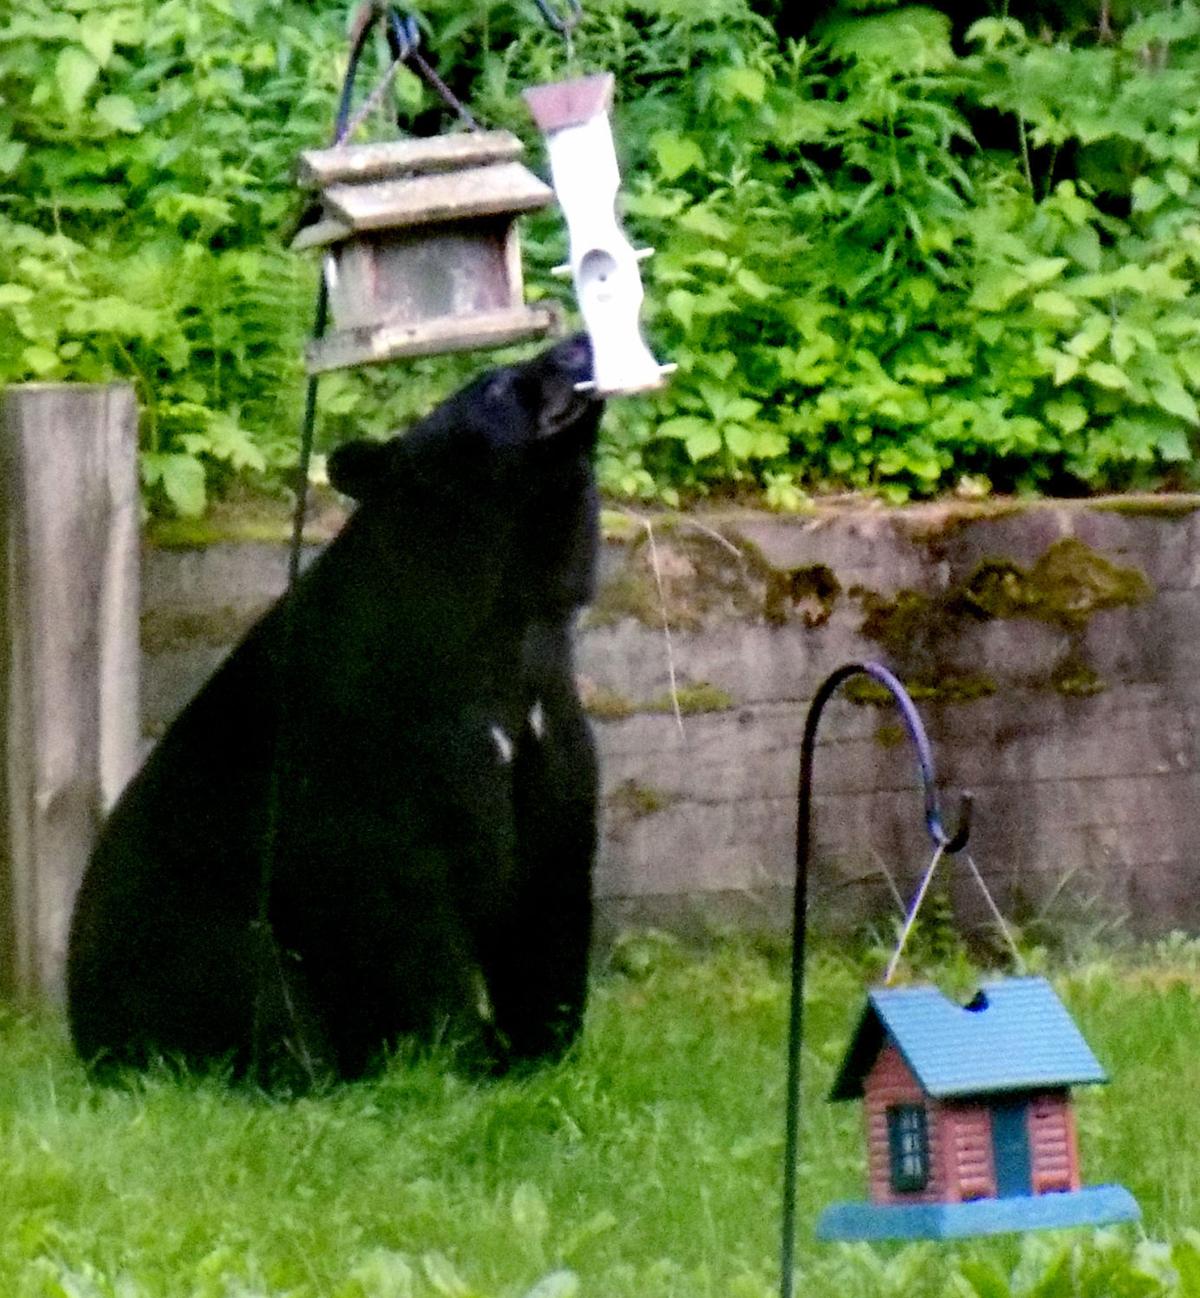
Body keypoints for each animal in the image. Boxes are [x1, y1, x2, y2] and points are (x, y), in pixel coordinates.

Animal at [67, 334, 603, 1089]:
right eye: (497, 385)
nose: (579, 342)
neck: (501, 609)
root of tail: (83, 1033)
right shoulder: (382, 747)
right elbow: (405, 913)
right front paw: (460, 1061)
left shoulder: (546, 717)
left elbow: (551, 885)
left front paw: (542, 1052)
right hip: (192, 936)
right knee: (259, 993)